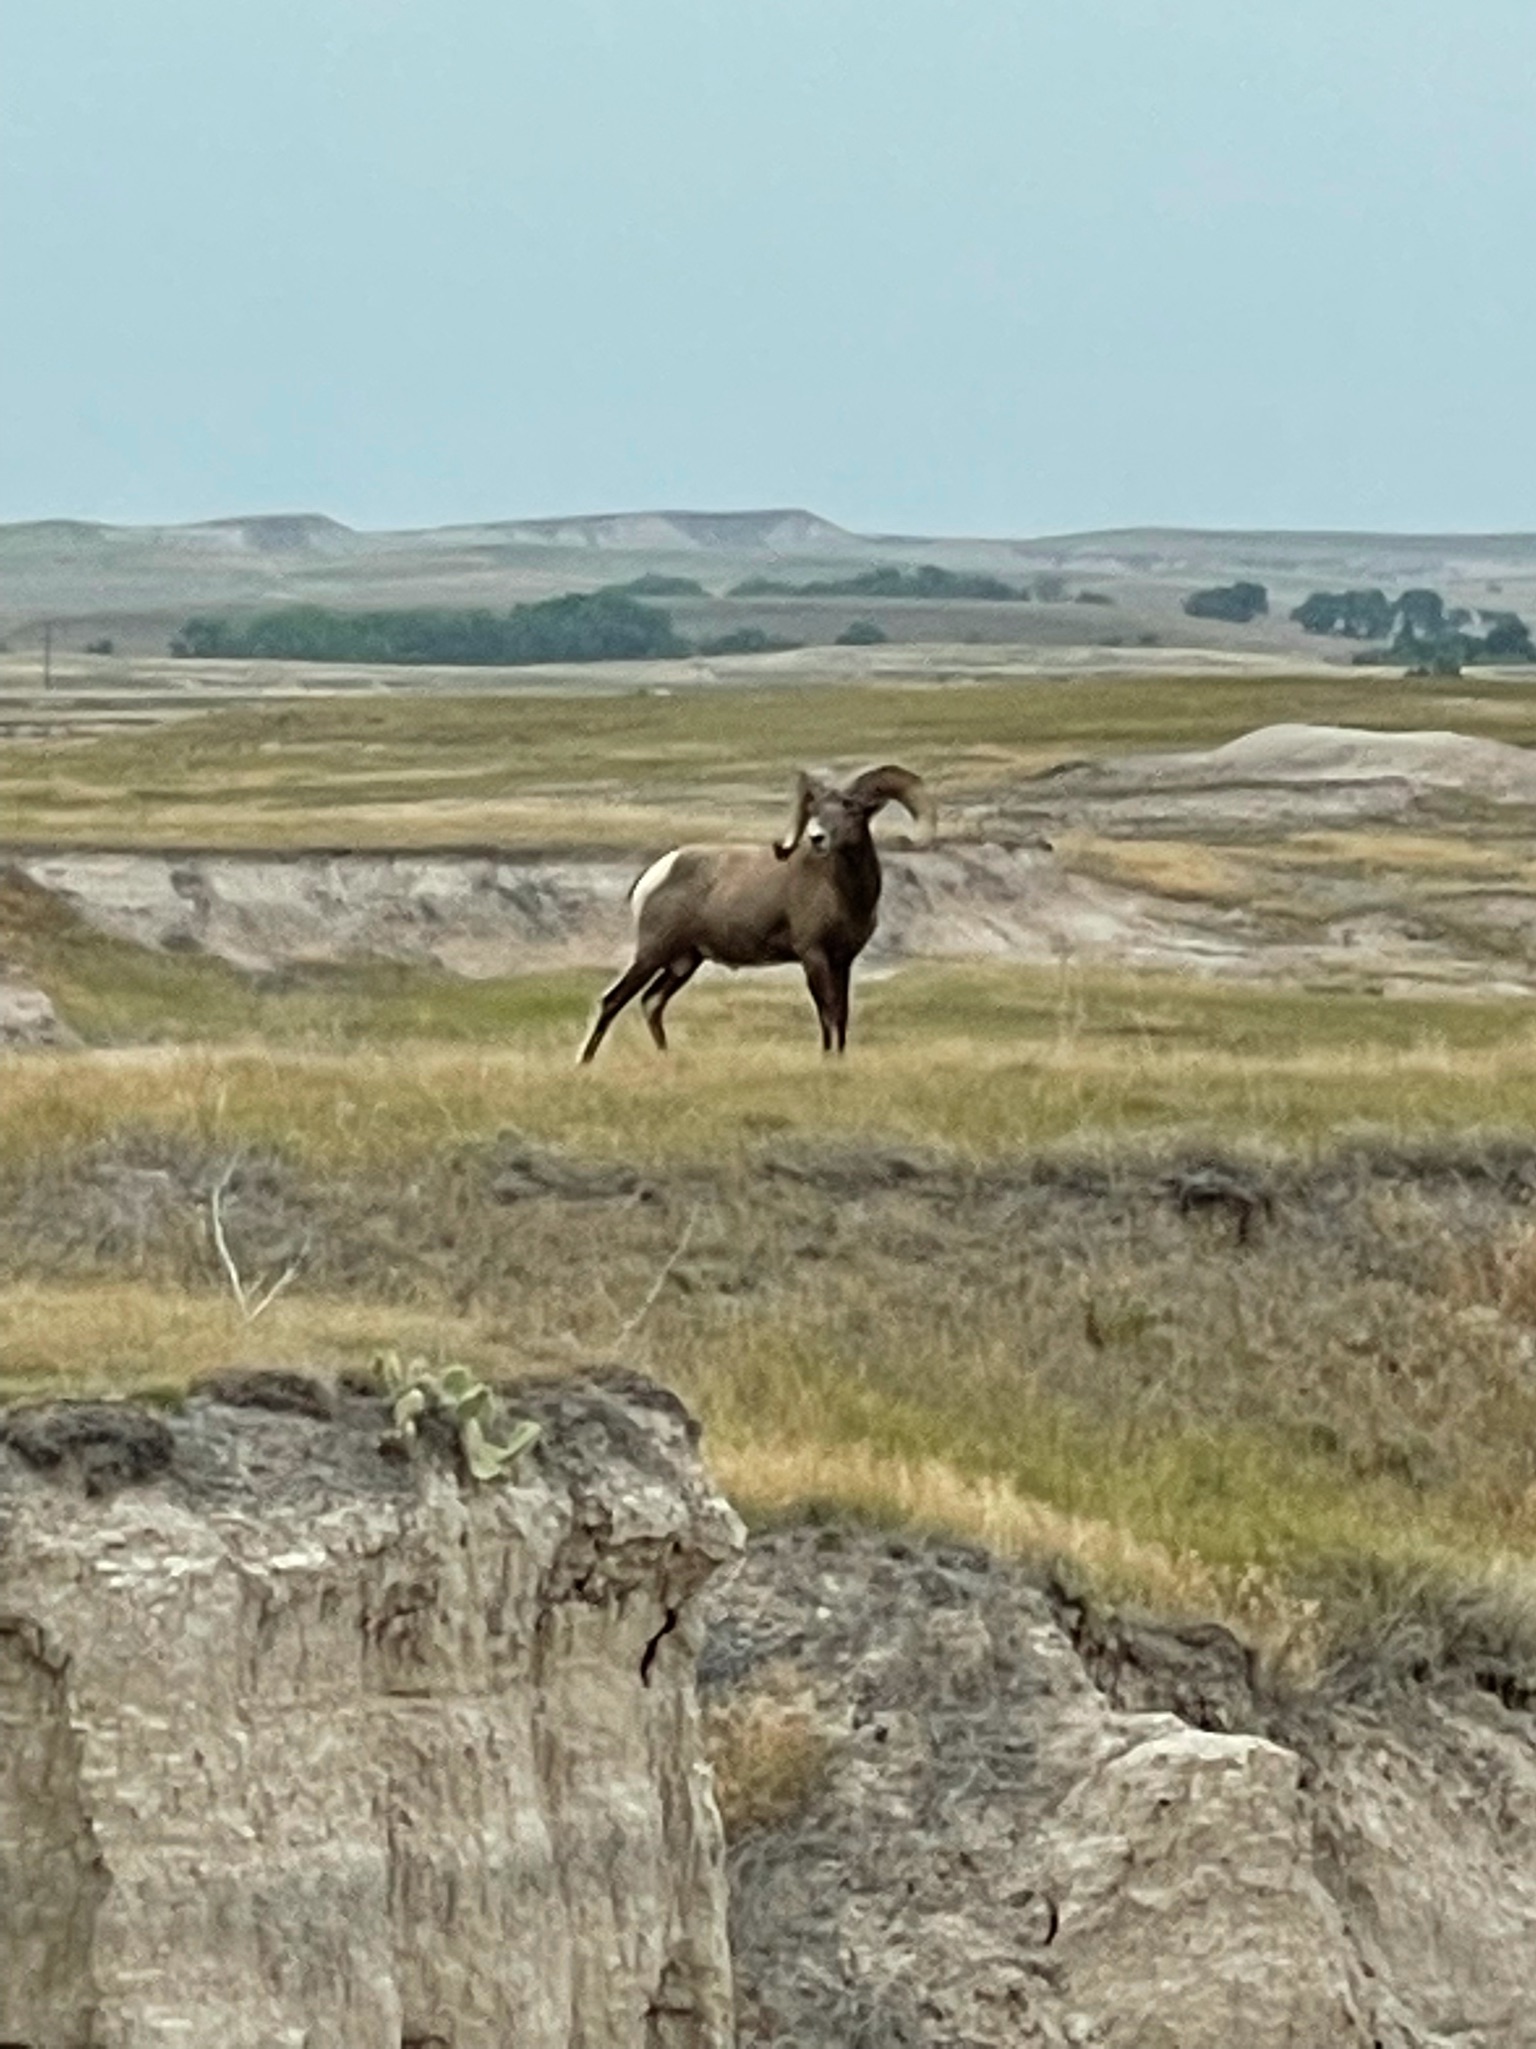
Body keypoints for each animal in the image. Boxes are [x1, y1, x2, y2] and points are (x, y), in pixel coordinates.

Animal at [577, 764, 935, 1063]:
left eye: (851, 808)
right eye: (816, 810)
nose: (817, 837)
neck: (844, 893)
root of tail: (656, 873)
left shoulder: (842, 961)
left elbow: (841, 1013)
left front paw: (840, 1058)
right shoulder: (814, 956)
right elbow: (827, 1012)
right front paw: (826, 1059)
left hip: (685, 961)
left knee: (652, 1002)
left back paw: (666, 1057)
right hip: (652, 954)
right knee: (613, 1001)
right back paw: (585, 1063)